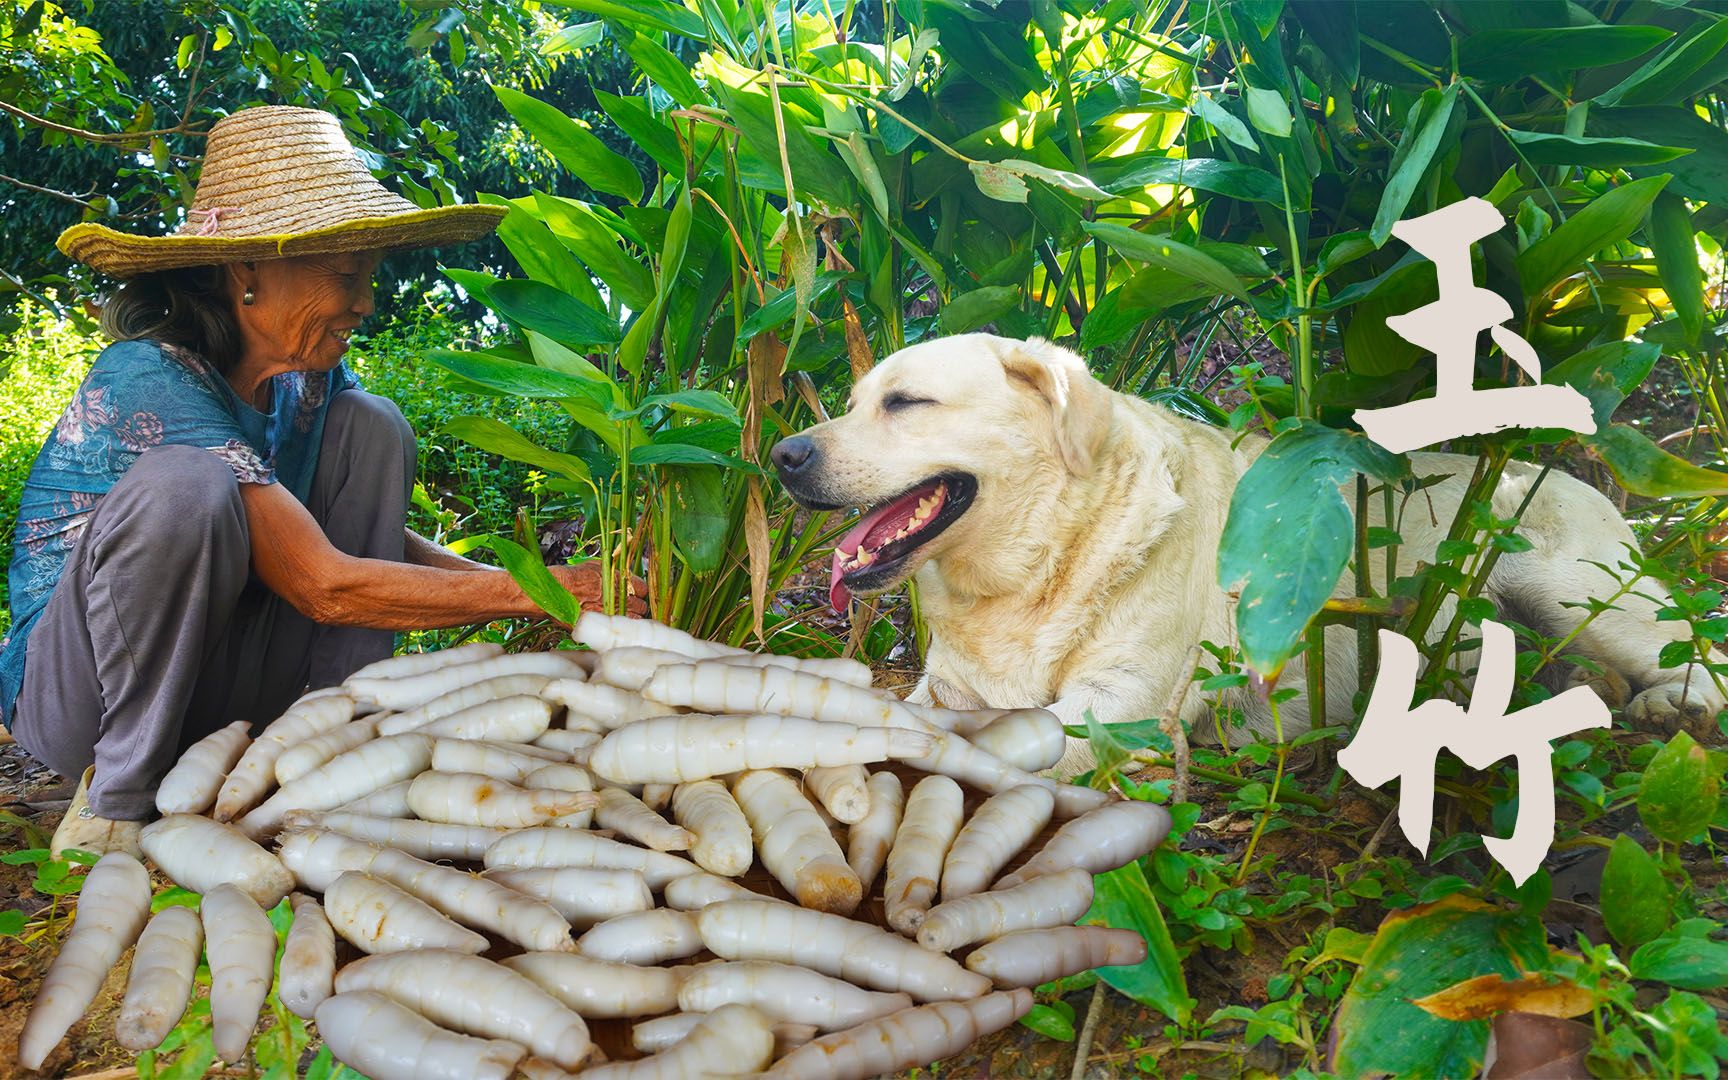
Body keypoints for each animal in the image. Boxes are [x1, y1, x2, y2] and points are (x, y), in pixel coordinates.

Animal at [777, 333, 1721, 770]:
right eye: (853, 401)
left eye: (905, 403)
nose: (784, 455)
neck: (1044, 562)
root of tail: (1547, 469)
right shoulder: (948, 688)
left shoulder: (1117, 708)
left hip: (1571, 584)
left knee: (1691, 650)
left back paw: (1672, 709)